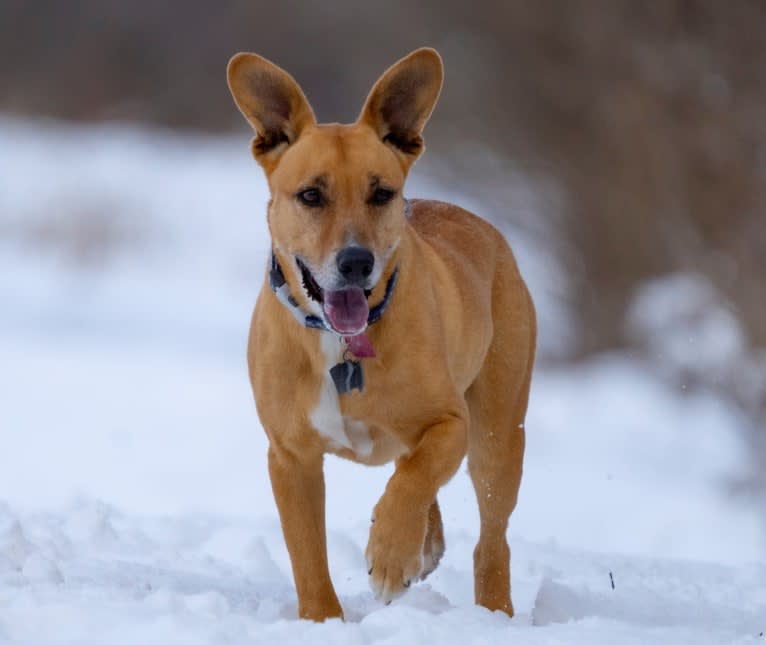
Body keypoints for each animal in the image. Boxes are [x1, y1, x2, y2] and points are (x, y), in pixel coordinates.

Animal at [228, 47, 540, 620]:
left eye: (382, 193)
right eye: (311, 195)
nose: (356, 262)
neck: (340, 344)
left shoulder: (450, 423)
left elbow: (413, 478)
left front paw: (392, 555)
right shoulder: (290, 455)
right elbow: (307, 552)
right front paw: (322, 620)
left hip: (497, 433)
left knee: (491, 534)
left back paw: (491, 609)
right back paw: (428, 545)